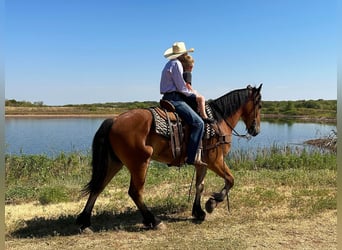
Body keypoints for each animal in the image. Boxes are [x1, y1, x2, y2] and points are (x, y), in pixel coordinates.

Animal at [76, 84, 262, 230]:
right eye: (259, 105)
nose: (256, 130)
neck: (217, 121)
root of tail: (114, 120)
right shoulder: (215, 161)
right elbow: (230, 180)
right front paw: (213, 202)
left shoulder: (201, 163)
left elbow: (200, 186)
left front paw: (198, 211)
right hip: (140, 163)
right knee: (135, 192)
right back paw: (153, 221)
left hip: (114, 162)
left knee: (98, 187)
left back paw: (84, 222)